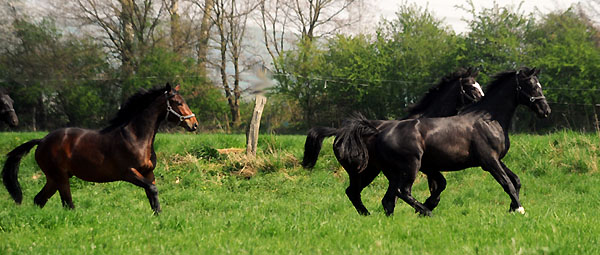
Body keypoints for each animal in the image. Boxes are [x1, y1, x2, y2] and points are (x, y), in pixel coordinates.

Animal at [2, 83, 199, 213]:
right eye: (178, 103)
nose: (194, 124)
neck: (136, 137)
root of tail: (42, 141)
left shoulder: (148, 172)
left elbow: (153, 194)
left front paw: (158, 215)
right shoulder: (129, 173)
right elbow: (152, 190)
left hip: (54, 178)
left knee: (39, 200)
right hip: (60, 178)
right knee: (67, 204)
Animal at [336, 66, 552, 216]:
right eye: (532, 85)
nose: (546, 110)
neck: (488, 119)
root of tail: (378, 132)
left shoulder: (496, 159)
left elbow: (516, 181)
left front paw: (512, 208)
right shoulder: (489, 161)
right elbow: (507, 183)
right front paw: (520, 209)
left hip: (389, 171)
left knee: (387, 198)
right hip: (406, 167)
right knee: (400, 191)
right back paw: (425, 211)